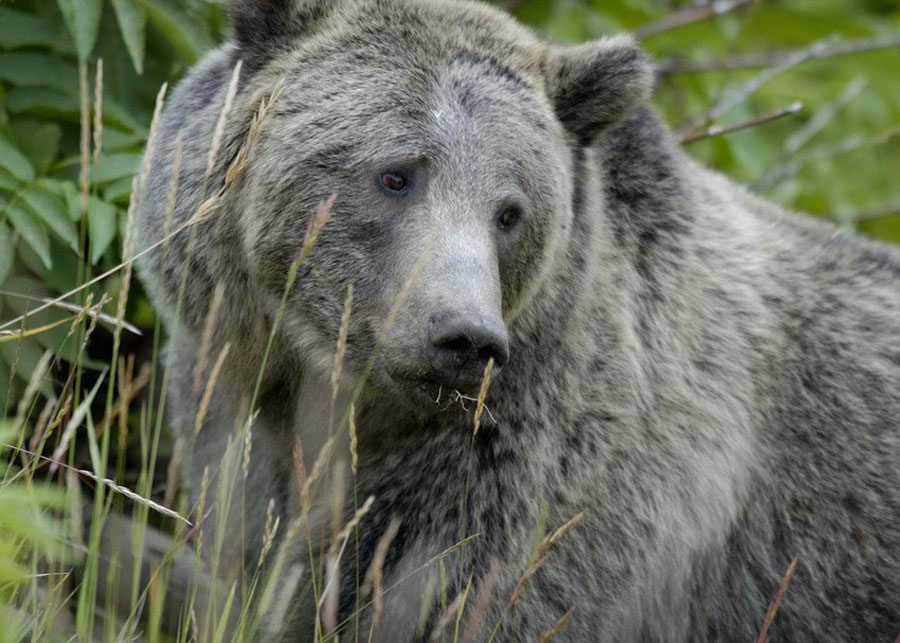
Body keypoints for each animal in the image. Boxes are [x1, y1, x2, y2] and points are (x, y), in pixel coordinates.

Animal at [134, 0, 900, 640]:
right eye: (396, 175)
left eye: (510, 211)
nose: (464, 336)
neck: (342, 397)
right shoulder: (230, 404)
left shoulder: (534, 476)